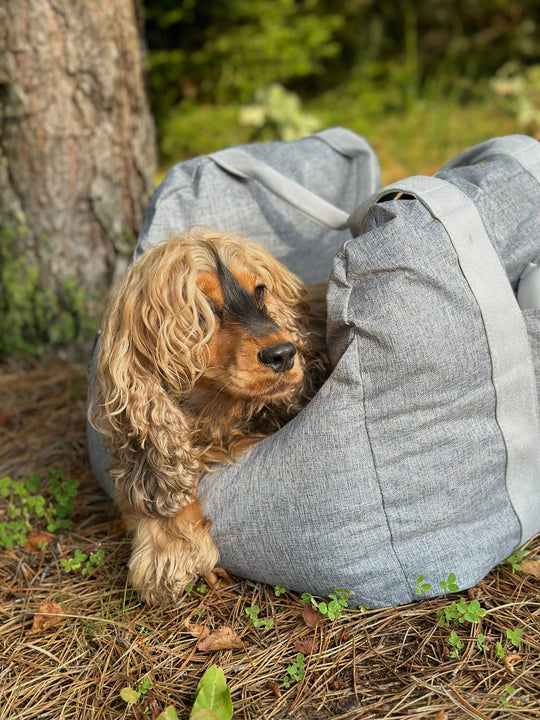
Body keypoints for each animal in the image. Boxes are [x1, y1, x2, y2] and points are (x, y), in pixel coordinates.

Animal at [89, 228, 326, 604]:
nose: (284, 354)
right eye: (199, 309)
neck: (215, 412)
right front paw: (167, 544)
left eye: (260, 291)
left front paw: (169, 550)